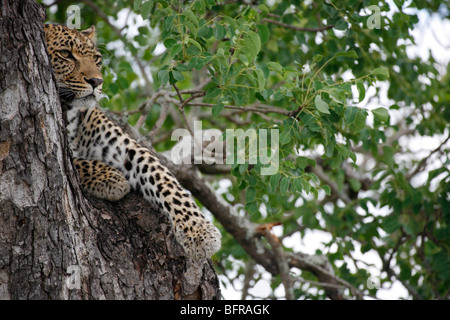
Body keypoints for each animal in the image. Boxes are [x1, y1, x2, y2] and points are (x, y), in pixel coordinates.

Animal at [44, 24, 221, 260]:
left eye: (97, 59)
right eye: (65, 54)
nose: (96, 82)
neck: (69, 112)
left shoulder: (122, 146)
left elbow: (161, 176)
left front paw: (199, 230)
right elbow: (74, 161)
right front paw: (109, 177)